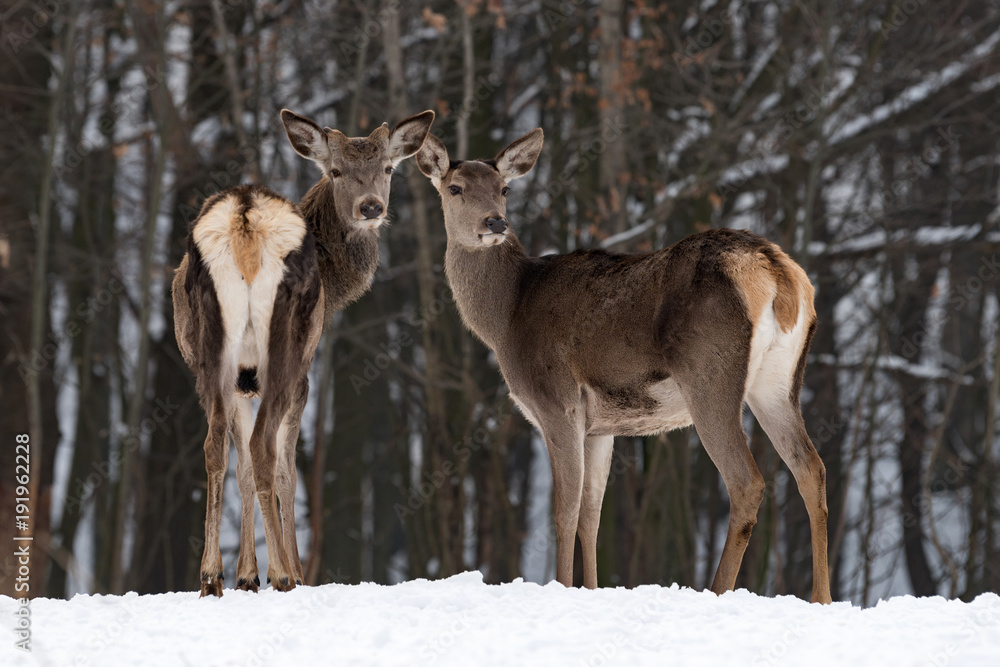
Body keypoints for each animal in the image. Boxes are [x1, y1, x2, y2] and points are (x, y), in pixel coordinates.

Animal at [171, 107, 434, 596]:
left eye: (388, 168)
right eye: (336, 171)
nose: (371, 207)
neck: (335, 285)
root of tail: (244, 218)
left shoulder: (243, 379)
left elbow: (243, 471)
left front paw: (246, 575)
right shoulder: (303, 373)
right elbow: (285, 471)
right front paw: (283, 569)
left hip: (210, 355)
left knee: (215, 445)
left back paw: (211, 574)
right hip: (284, 346)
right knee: (264, 448)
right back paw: (284, 575)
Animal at [416, 130, 836, 604]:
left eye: (504, 189)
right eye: (455, 188)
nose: (495, 223)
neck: (506, 316)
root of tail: (778, 272)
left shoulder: (557, 402)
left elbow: (565, 510)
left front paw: (562, 587)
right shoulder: (601, 427)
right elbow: (591, 514)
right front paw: (591, 589)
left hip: (710, 374)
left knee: (748, 480)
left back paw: (717, 590)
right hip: (778, 382)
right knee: (811, 468)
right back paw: (822, 597)